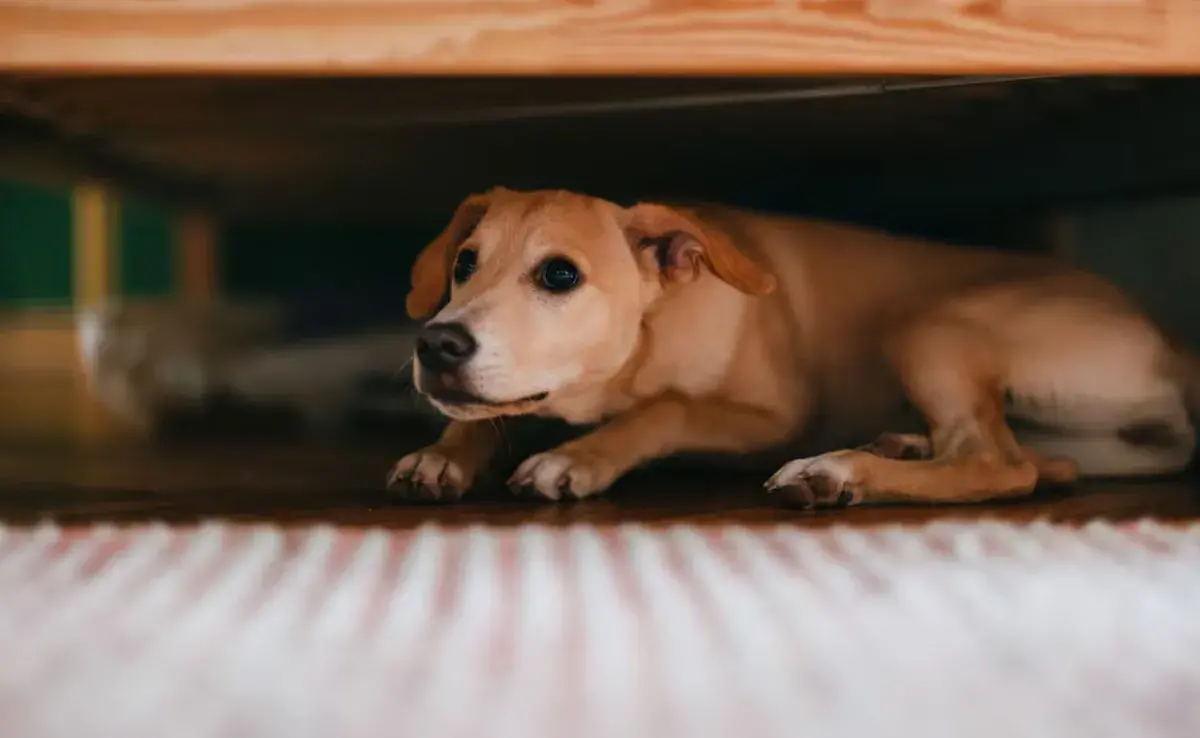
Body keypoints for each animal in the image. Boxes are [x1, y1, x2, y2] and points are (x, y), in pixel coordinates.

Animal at [388, 184, 1195, 508]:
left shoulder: (773, 416)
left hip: (927, 324)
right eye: (465, 263)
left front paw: (577, 458)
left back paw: (839, 472)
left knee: (998, 464)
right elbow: (489, 413)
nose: (437, 344)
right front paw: (443, 453)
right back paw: (894, 445)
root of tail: (1170, 345)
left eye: (560, 275)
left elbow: (666, 409)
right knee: (1040, 463)